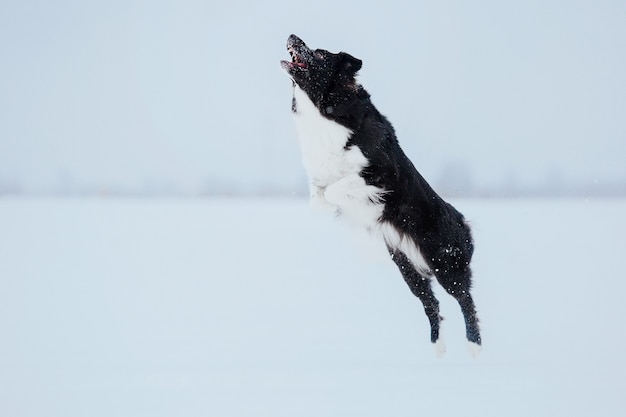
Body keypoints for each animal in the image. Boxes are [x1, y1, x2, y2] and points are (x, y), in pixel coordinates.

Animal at [280, 34, 480, 356]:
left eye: (320, 53)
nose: (292, 36)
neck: (322, 112)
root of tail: (463, 221)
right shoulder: (318, 177)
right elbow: (318, 198)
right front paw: (331, 206)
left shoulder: (383, 173)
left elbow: (339, 187)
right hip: (408, 269)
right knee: (431, 303)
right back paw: (437, 348)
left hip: (445, 264)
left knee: (465, 300)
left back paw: (474, 347)